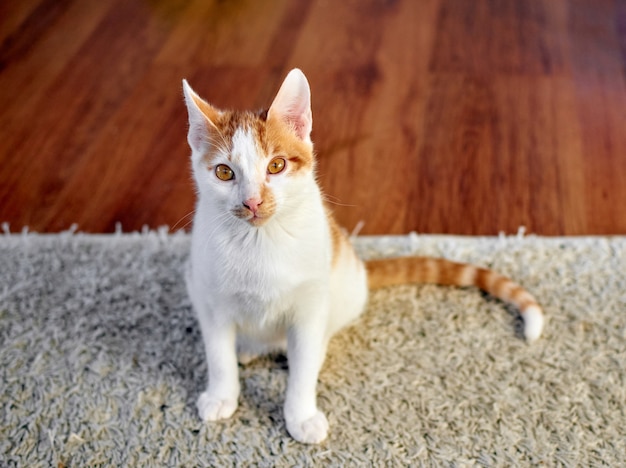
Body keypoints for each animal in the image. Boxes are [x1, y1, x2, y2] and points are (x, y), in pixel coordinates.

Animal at [180, 67, 540, 444]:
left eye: (276, 165)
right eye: (224, 172)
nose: (252, 202)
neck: (259, 241)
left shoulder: (310, 306)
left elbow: (303, 364)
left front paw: (300, 416)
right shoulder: (209, 298)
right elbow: (218, 355)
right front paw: (222, 396)